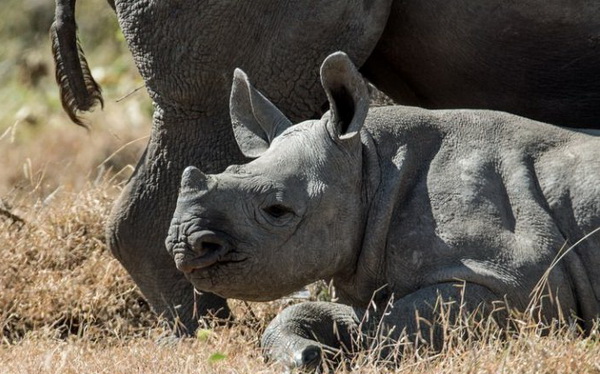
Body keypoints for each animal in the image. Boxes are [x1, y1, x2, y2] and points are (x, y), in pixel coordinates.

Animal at [165, 51, 600, 368]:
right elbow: (336, 316)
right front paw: (309, 355)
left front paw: (336, 357)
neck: (369, 165)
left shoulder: (514, 281)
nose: (182, 244)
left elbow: (393, 327)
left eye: (276, 210)